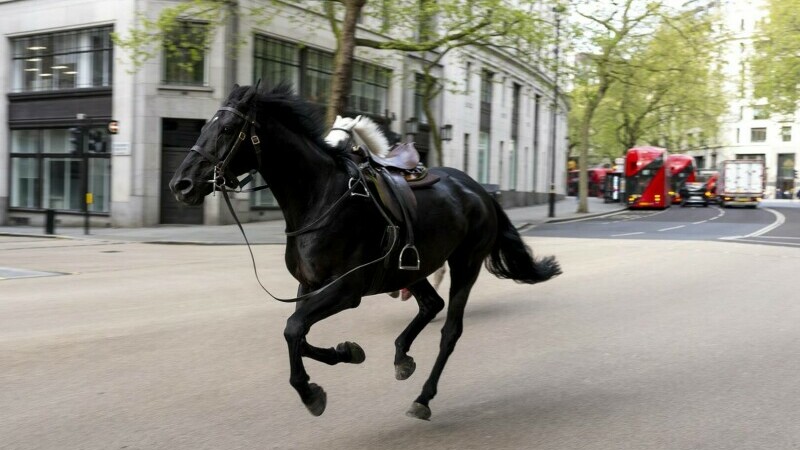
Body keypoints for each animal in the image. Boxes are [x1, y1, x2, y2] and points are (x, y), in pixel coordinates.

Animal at [169, 81, 560, 422]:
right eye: (206, 125)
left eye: (227, 128)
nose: (181, 184)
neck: (320, 199)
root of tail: (479, 190)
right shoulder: (309, 286)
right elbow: (298, 333)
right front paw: (347, 352)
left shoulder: (345, 289)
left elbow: (293, 329)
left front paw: (310, 392)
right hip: (411, 267)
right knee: (431, 305)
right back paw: (402, 356)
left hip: (465, 263)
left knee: (450, 331)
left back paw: (423, 398)